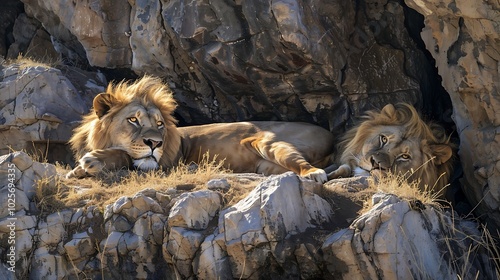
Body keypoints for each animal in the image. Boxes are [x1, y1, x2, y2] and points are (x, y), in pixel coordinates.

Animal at [65, 75, 336, 183]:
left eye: (160, 124)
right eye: (133, 120)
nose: (156, 143)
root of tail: (331, 134)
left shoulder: (165, 163)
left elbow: (125, 155)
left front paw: (93, 161)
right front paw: (77, 171)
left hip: (268, 142)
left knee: (304, 164)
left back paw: (313, 173)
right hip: (265, 166)